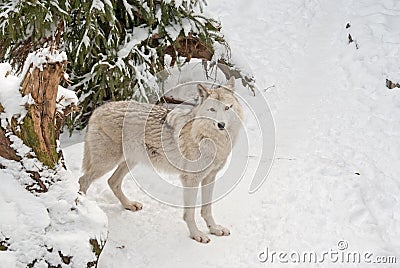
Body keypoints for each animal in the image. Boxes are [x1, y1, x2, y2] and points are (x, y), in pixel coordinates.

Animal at [77, 77, 242, 243]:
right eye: (212, 109)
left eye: (228, 108)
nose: (221, 124)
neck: (211, 140)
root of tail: (99, 109)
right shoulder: (191, 179)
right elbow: (190, 214)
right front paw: (196, 234)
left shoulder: (210, 177)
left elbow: (207, 209)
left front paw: (214, 229)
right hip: (106, 163)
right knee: (83, 180)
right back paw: (82, 209)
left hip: (130, 162)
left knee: (112, 181)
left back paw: (129, 205)